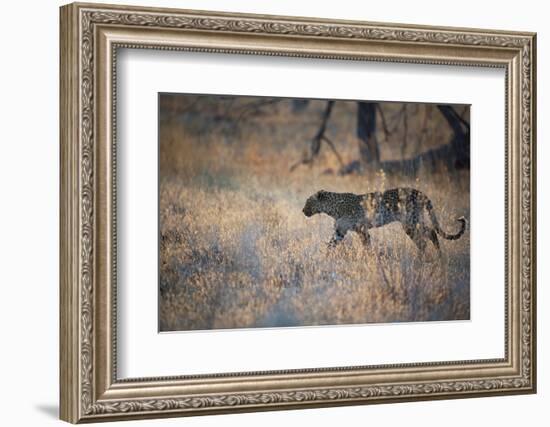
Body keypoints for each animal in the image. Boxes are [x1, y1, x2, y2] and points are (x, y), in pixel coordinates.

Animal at [304, 188, 468, 254]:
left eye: (308, 202)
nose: (303, 211)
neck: (332, 209)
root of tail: (419, 192)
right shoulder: (340, 231)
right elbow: (331, 245)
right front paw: (325, 258)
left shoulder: (362, 230)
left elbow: (366, 245)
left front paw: (368, 258)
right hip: (413, 222)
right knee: (430, 233)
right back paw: (437, 257)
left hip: (410, 221)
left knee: (423, 240)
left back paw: (423, 259)